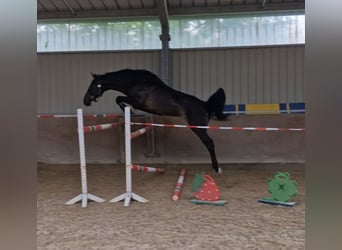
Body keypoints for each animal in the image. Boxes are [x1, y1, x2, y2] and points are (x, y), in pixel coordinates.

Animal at [82, 69, 227, 174]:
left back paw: (216, 168)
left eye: (93, 86)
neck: (137, 83)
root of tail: (204, 105)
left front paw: (129, 110)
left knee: (209, 143)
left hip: (198, 128)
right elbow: (119, 98)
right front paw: (129, 110)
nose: (86, 101)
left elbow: (118, 98)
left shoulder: (138, 102)